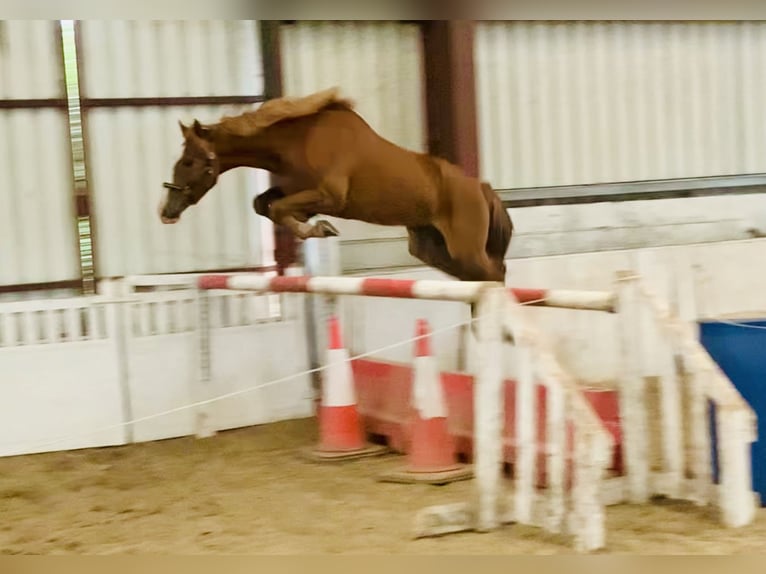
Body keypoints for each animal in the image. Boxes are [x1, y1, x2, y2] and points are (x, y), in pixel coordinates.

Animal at [159, 88, 512, 284]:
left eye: (189, 161)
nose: (166, 211)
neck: (299, 140)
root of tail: (481, 187)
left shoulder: (329, 197)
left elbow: (279, 208)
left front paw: (319, 229)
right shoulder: (295, 190)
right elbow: (265, 204)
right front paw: (312, 226)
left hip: (464, 249)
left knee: (495, 275)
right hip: (429, 246)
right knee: (481, 276)